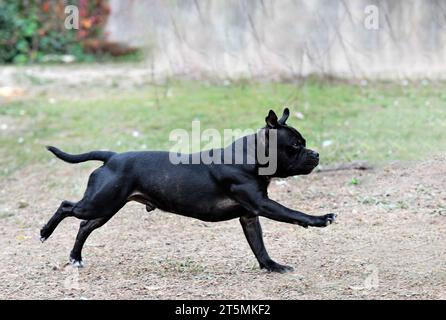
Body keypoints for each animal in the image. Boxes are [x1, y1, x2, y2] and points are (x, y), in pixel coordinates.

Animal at [41, 108, 334, 272]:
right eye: (295, 145)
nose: (316, 154)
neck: (250, 156)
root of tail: (112, 157)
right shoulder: (263, 205)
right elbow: (294, 213)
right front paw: (320, 219)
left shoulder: (250, 217)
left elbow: (259, 246)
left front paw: (271, 267)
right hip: (98, 203)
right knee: (66, 206)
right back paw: (45, 232)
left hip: (106, 208)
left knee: (84, 226)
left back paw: (75, 258)